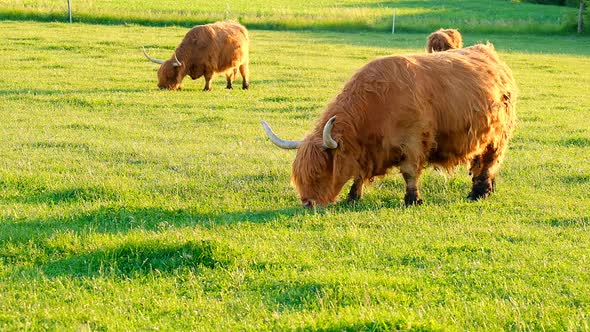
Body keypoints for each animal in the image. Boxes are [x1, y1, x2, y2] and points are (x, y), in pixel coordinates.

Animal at [264, 43, 520, 208]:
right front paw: (353, 197)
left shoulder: (414, 142)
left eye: (319, 171)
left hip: (498, 137)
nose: (308, 203)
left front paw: (413, 200)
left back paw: (478, 193)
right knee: (481, 163)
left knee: (490, 161)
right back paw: (486, 189)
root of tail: (489, 53)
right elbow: (358, 174)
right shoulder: (366, 151)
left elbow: (409, 173)